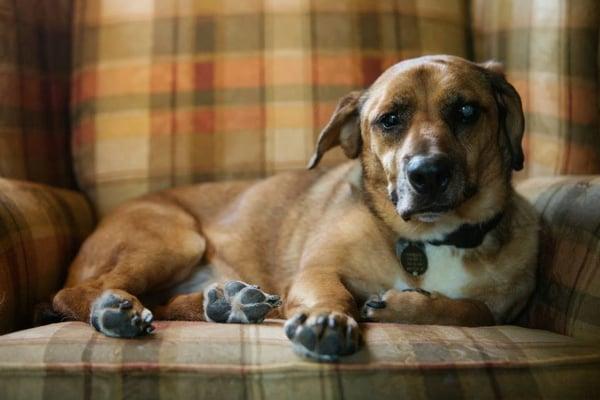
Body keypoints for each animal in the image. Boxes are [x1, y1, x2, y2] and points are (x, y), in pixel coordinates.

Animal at [51, 54, 540, 360]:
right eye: (389, 120)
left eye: (466, 111)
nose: (428, 174)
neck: (429, 240)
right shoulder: (316, 271)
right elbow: (335, 296)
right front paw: (329, 320)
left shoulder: (499, 305)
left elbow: (476, 311)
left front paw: (406, 308)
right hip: (177, 240)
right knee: (77, 293)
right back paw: (118, 312)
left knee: (168, 301)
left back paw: (226, 303)